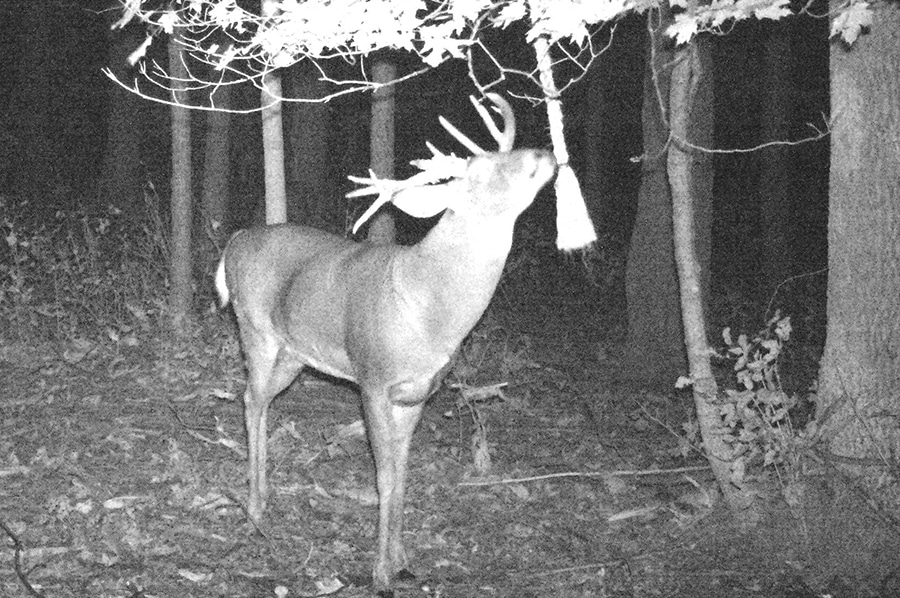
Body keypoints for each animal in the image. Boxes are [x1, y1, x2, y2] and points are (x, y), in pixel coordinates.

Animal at [215, 93, 557, 595]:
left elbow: (403, 474)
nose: (544, 154)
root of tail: (235, 240)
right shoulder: (373, 380)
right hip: (256, 330)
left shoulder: (418, 394)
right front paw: (380, 574)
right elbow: (384, 477)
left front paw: (403, 560)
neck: (430, 310)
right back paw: (256, 509)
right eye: (478, 171)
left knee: (259, 400)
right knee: (250, 398)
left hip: (296, 355)